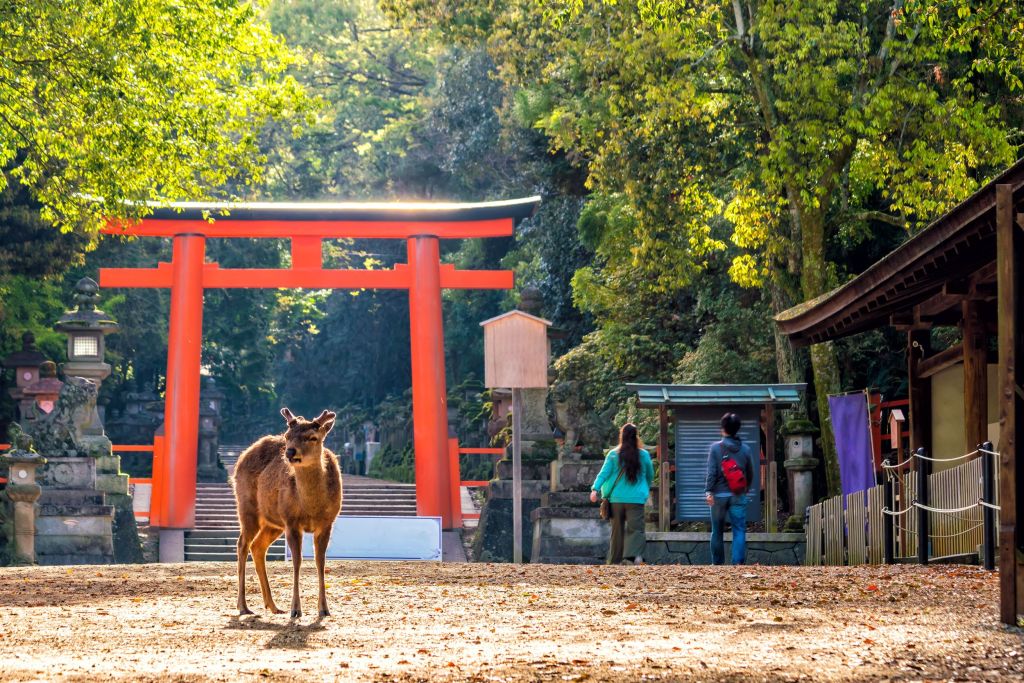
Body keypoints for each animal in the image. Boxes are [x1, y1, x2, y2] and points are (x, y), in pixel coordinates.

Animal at [232, 407, 342, 619]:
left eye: (313, 437)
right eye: (288, 436)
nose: (290, 451)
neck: (312, 508)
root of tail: (240, 459)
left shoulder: (327, 522)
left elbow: (320, 562)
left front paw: (324, 609)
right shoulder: (292, 522)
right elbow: (297, 562)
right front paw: (296, 609)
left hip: (273, 522)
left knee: (258, 546)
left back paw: (273, 606)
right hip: (247, 507)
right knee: (242, 543)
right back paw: (243, 606)